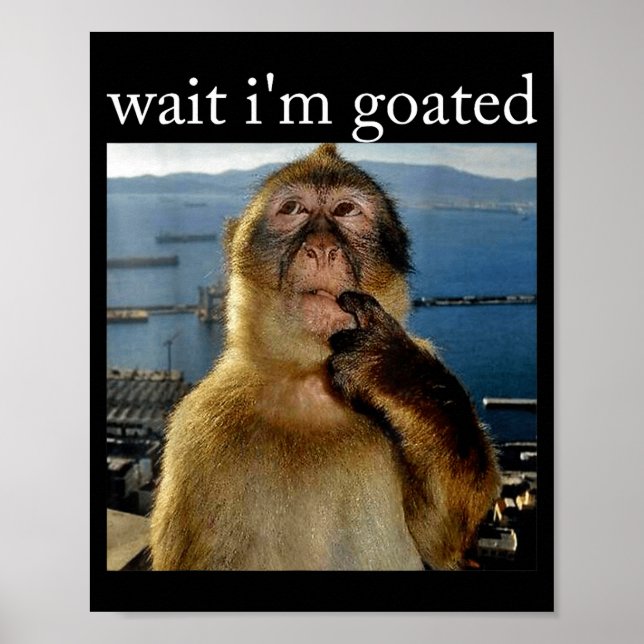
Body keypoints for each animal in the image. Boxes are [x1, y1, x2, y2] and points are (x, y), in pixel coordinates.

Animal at [149, 143, 500, 571]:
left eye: (346, 210)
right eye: (293, 209)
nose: (321, 248)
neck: (310, 381)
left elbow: (440, 537)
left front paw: (393, 370)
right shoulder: (198, 430)